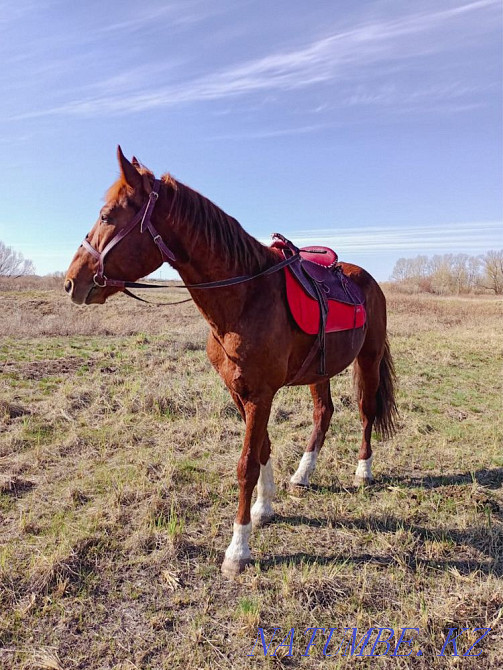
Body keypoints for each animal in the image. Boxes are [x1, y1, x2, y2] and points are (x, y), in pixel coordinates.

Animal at [65, 147, 398, 577]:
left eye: (107, 216)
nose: (71, 282)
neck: (245, 296)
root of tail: (366, 280)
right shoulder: (239, 393)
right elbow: (263, 449)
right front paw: (264, 507)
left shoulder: (260, 395)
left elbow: (246, 465)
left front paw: (238, 549)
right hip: (320, 371)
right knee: (323, 413)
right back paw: (303, 474)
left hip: (369, 359)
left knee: (365, 411)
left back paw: (362, 471)